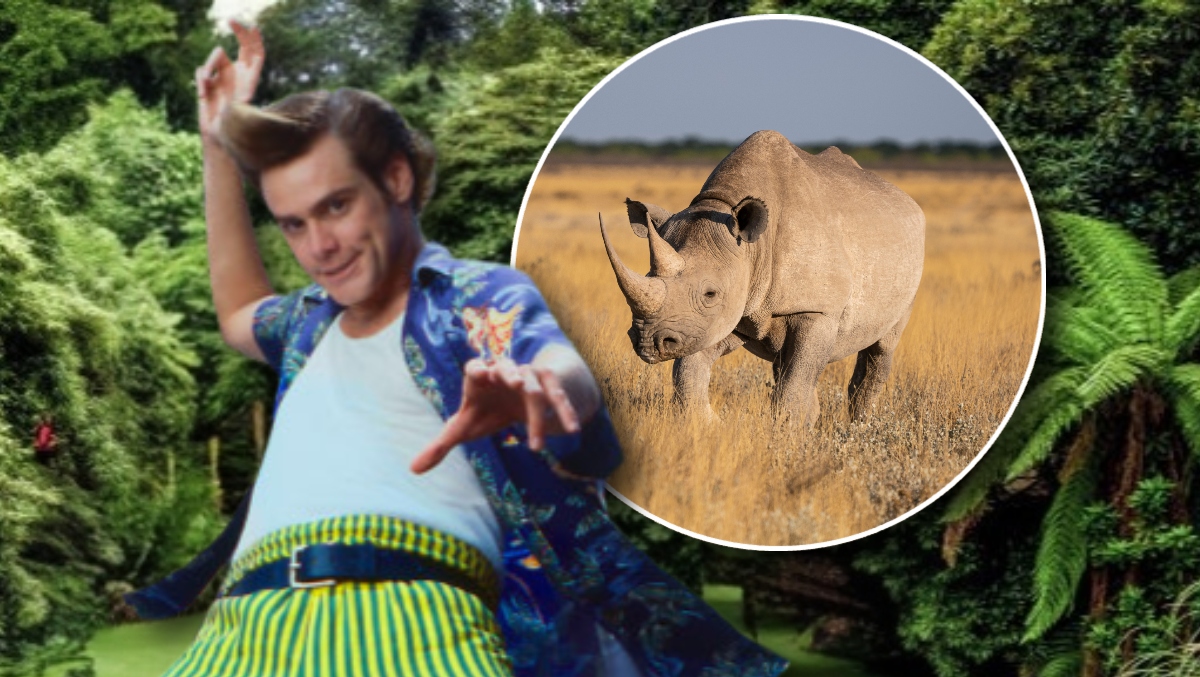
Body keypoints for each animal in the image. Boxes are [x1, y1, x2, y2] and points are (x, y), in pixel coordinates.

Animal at [599, 130, 925, 424]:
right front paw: (708, 425)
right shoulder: (722, 312)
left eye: (710, 294)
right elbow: (689, 370)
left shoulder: (816, 309)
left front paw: (786, 436)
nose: (647, 342)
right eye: (647, 274)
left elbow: (796, 381)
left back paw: (861, 426)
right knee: (788, 366)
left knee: (880, 348)